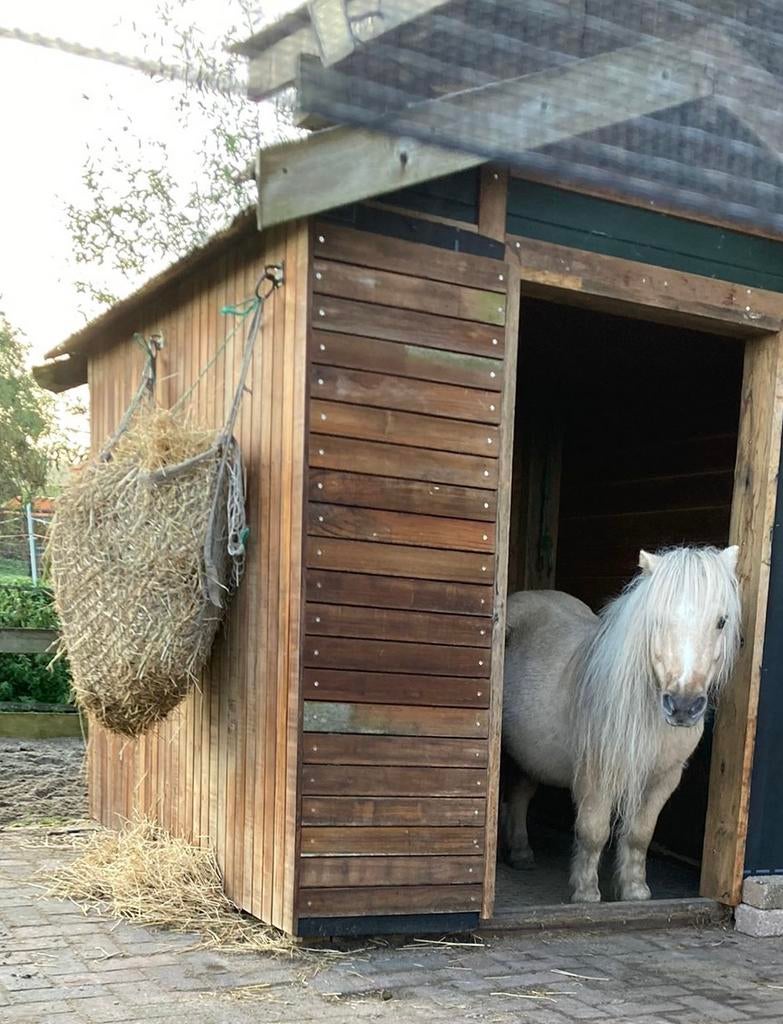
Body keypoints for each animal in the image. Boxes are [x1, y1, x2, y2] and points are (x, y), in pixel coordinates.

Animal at [501, 545, 742, 903]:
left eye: (721, 621)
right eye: (656, 619)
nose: (683, 706)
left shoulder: (663, 779)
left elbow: (640, 834)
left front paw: (635, 891)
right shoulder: (595, 776)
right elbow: (594, 831)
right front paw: (586, 893)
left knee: (520, 795)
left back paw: (521, 854)